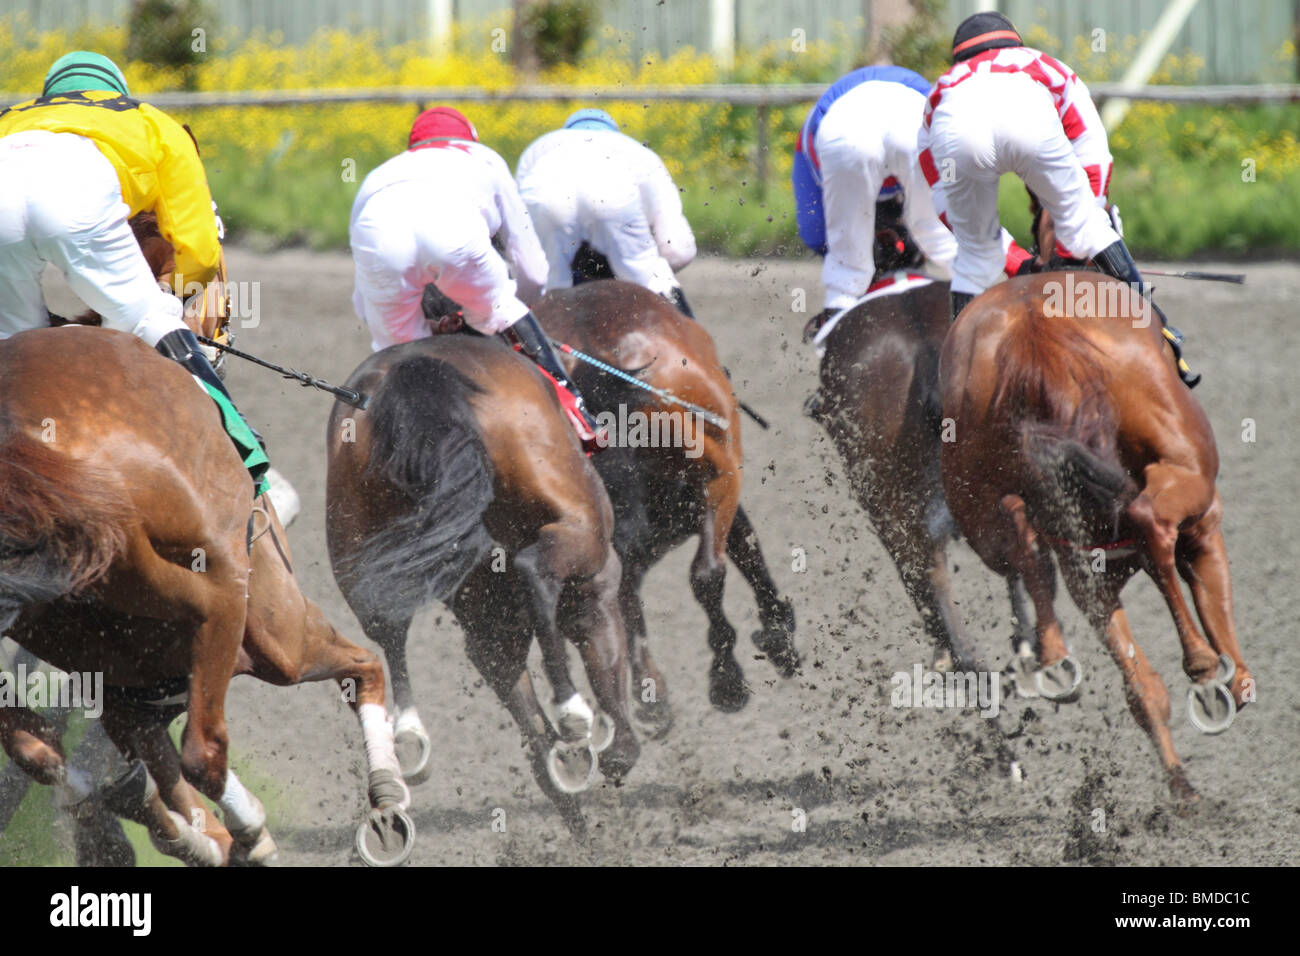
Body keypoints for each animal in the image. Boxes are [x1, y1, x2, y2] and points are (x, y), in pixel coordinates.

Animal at [0, 327, 413, 868]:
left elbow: (186, 754)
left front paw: (234, 835)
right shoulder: (130, 669)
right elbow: (67, 750)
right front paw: (206, 834)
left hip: (272, 635)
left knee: (361, 665)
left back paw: (384, 798)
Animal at [319, 332, 634, 832]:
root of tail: (417, 374)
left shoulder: (490, 624)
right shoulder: (596, 582)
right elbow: (603, 650)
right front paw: (615, 747)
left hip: (355, 543)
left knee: (386, 625)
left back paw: (409, 736)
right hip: (576, 532)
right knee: (537, 571)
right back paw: (572, 713)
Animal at [941, 273, 1253, 806]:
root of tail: (1033, 328)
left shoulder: (1093, 581)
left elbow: (1142, 686)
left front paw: (1180, 782)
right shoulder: (1204, 528)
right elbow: (1216, 609)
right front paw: (1230, 680)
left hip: (982, 496)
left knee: (1022, 538)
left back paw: (1055, 661)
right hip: (1179, 477)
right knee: (1150, 521)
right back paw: (1202, 665)